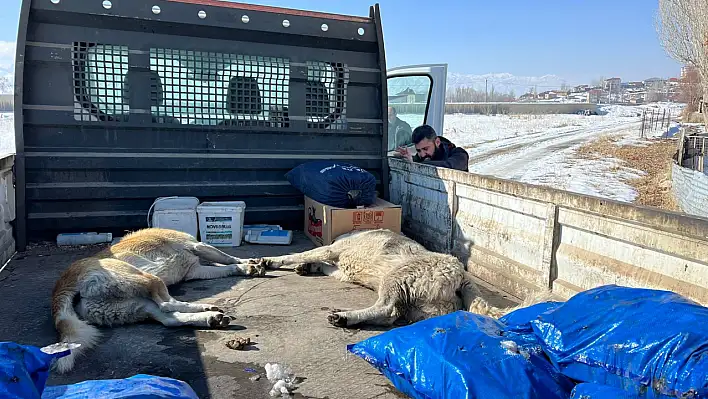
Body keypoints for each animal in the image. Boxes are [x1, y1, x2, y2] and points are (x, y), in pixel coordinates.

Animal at [49, 228, 266, 376]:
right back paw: (206, 308)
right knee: (167, 304)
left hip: (137, 305)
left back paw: (211, 318)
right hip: (146, 279)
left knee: (170, 319)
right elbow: (229, 258)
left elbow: (228, 267)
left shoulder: (195, 270)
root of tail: (64, 284)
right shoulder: (198, 246)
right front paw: (251, 264)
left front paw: (247, 267)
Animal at [252, 228, 552, 328]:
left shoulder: (332, 250)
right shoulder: (339, 268)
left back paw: (344, 317)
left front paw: (272, 261)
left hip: (396, 279)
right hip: (422, 305)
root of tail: (461, 273)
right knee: (395, 315)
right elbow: (319, 263)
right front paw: (306, 267)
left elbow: (302, 253)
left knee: (387, 309)